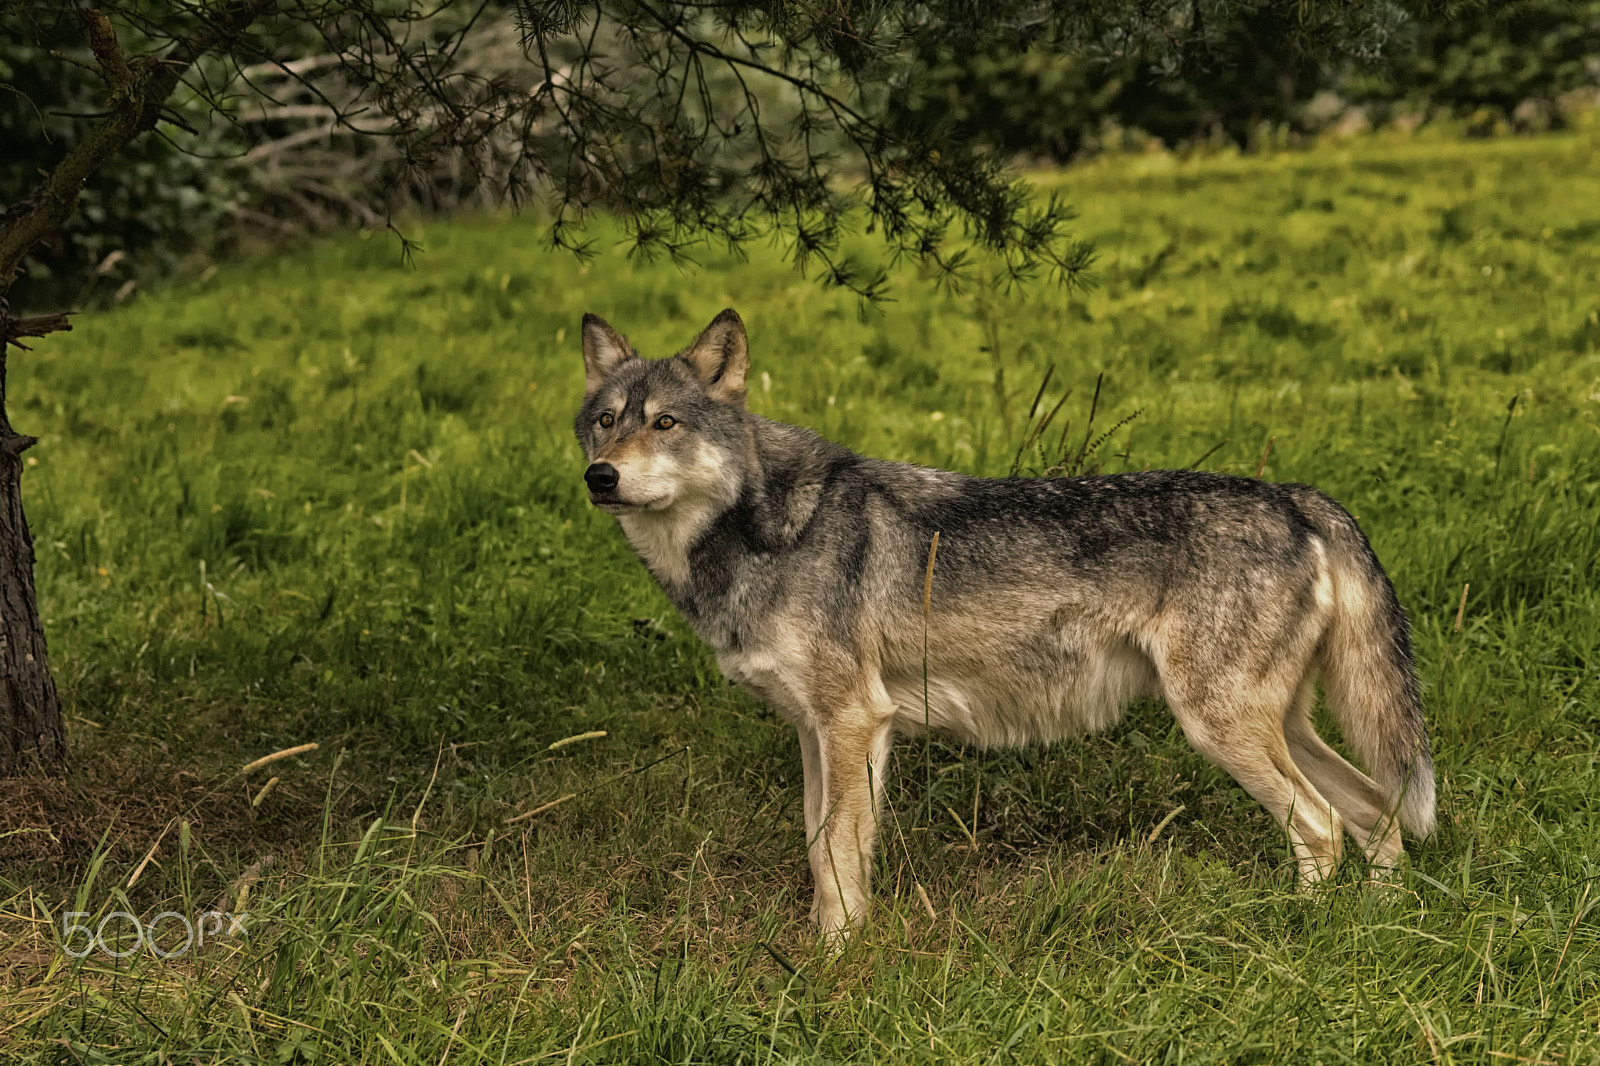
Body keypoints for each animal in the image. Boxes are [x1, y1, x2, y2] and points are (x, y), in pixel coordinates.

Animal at [576, 305, 1440, 941]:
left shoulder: (855, 722)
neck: (760, 531)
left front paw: (834, 968)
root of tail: (1294, 496)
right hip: (1278, 727)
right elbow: (819, 850)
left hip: (1221, 728)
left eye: (665, 424)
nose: (600, 476)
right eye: (605, 421)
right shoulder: (814, 733)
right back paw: (1378, 932)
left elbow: (840, 862)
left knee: (1324, 827)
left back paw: (1298, 936)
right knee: (1378, 815)